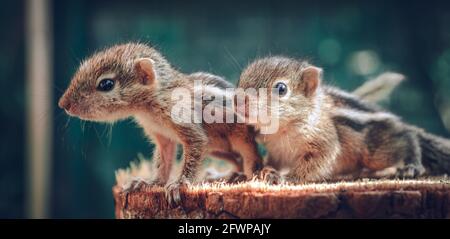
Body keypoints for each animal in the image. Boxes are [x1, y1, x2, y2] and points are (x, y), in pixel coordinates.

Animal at [59, 43, 264, 205]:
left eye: (106, 84)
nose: (63, 104)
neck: (150, 105)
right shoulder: (162, 137)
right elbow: (163, 161)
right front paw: (149, 183)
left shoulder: (189, 128)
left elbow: (193, 150)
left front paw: (179, 185)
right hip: (217, 149)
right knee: (237, 160)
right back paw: (224, 175)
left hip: (240, 139)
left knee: (253, 159)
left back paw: (245, 176)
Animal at [237, 56, 448, 183]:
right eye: (241, 80)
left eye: (281, 89)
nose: (238, 99)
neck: (281, 130)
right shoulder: (276, 152)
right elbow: (271, 162)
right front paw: (257, 172)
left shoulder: (324, 141)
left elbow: (315, 163)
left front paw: (287, 179)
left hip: (378, 152)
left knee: (408, 136)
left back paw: (412, 165)